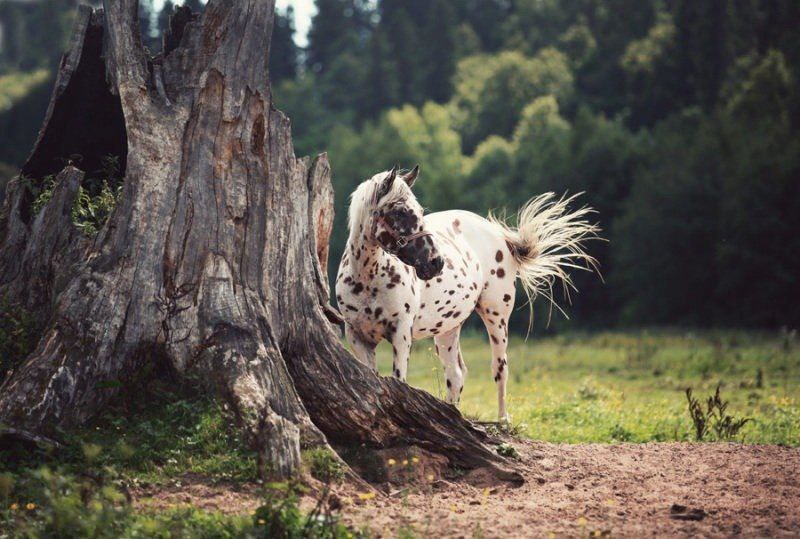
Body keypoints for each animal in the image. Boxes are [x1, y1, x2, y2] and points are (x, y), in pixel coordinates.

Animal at [334, 166, 596, 422]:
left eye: (419, 211)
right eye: (399, 212)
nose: (435, 262)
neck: (368, 277)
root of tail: (497, 233)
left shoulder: (401, 334)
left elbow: (399, 381)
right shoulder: (358, 337)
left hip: (496, 316)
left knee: (500, 368)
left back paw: (503, 420)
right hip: (447, 329)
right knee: (456, 375)